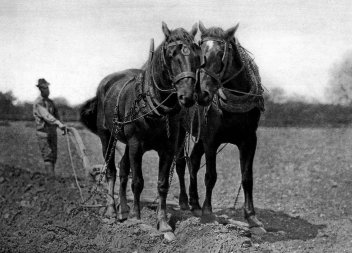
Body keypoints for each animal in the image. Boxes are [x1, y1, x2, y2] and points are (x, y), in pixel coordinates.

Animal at [80, 22, 201, 233]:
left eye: (196, 54)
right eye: (171, 54)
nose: (187, 96)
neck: (154, 106)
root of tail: (104, 84)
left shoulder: (168, 148)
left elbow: (162, 184)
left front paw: (163, 223)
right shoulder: (136, 145)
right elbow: (137, 181)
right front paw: (136, 219)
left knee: (122, 168)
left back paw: (123, 209)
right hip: (107, 137)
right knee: (111, 171)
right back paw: (111, 210)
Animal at [175, 22, 266, 229]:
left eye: (220, 54)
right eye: (199, 54)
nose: (200, 94)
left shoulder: (249, 140)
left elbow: (247, 177)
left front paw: (252, 217)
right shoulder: (211, 140)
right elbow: (211, 176)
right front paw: (208, 212)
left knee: (193, 161)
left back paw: (194, 203)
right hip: (179, 132)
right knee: (180, 163)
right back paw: (184, 202)